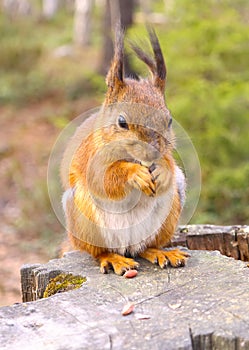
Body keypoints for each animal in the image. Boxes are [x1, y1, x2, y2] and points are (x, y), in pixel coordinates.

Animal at [60, 26, 189, 274]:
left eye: (169, 120)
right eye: (122, 122)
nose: (151, 153)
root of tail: (127, 246)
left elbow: (169, 164)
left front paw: (162, 170)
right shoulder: (92, 159)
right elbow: (105, 179)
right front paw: (134, 174)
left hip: (168, 214)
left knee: (146, 247)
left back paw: (160, 252)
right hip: (83, 219)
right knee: (99, 252)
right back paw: (113, 259)